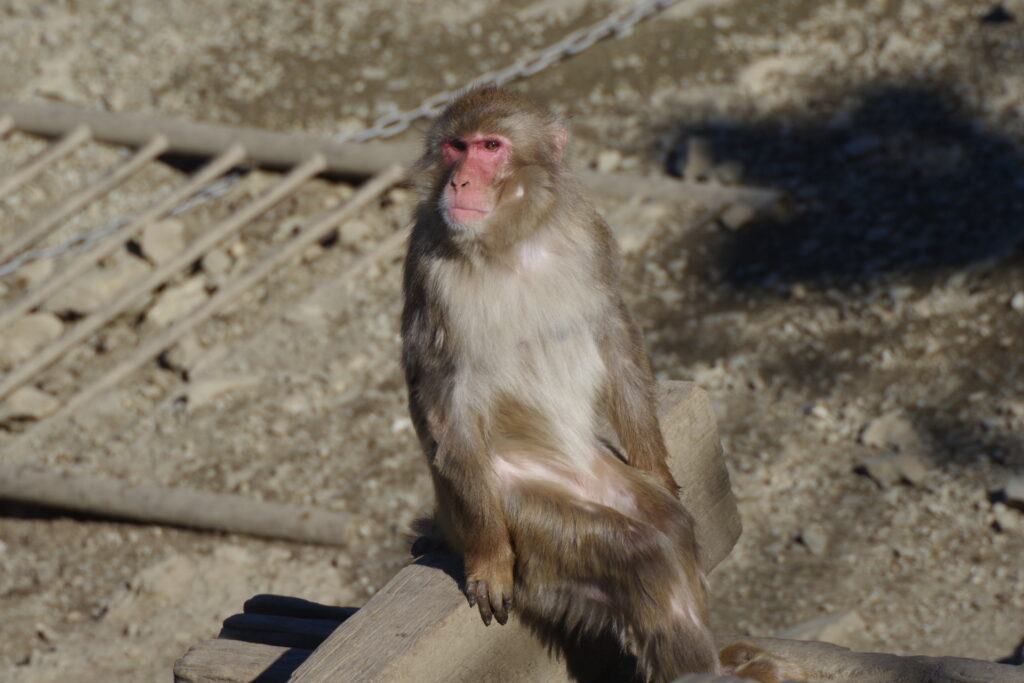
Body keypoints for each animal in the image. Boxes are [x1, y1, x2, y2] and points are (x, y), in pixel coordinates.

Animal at [399, 89, 774, 683]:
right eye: (456, 147)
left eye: (490, 147)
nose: (459, 182)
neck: (514, 243)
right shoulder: (431, 276)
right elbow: (444, 402)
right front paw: (490, 560)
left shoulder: (588, 235)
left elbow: (612, 334)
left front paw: (660, 471)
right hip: (511, 499)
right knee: (639, 553)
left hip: (603, 472)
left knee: (667, 527)